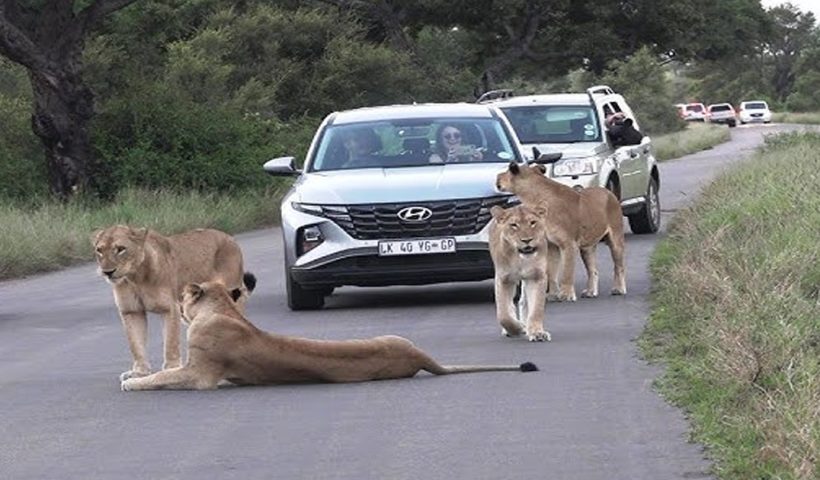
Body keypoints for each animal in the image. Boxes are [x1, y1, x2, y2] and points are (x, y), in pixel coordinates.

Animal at [92, 226, 256, 382]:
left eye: (120, 249)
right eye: (99, 250)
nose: (107, 272)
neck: (135, 277)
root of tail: (229, 237)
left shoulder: (169, 308)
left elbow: (170, 341)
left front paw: (171, 368)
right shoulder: (131, 311)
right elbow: (135, 343)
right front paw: (139, 372)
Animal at [118, 282, 536, 390]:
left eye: (185, 298)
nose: (179, 304)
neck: (222, 309)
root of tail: (419, 355)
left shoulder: (201, 374)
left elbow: (163, 377)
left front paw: (133, 382)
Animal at [486, 205, 552, 342]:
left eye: (532, 222)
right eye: (513, 225)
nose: (527, 240)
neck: (520, 259)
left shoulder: (537, 277)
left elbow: (536, 309)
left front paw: (537, 332)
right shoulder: (503, 279)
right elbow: (503, 314)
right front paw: (517, 328)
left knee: (523, 302)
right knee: (510, 306)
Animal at [494, 163, 628, 302]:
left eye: (507, 171)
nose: (497, 177)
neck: (533, 198)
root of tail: (608, 192)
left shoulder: (568, 244)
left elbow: (566, 272)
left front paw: (566, 294)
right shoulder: (551, 245)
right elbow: (552, 272)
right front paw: (552, 295)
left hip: (616, 239)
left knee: (619, 266)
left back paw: (618, 289)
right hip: (587, 248)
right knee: (593, 270)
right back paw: (590, 292)